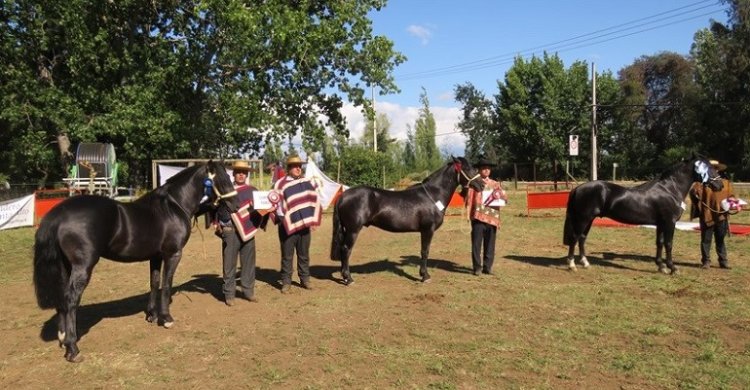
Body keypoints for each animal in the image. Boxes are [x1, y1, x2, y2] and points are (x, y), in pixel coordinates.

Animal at [32, 160, 236, 362]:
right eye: (223, 179)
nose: (234, 205)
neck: (173, 207)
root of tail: (60, 213)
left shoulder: (155, 256)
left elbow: (154, 283)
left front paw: (152, 315)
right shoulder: (173, 254)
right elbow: (166, 284)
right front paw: (166, 318)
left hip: (65, 266)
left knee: (62, 297)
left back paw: (63, 338)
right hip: (82, 267)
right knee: (71, 300)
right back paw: (72, 348)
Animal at [332, 157, 484, 284]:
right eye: (468, 168)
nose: (482, 185)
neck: (433, 195)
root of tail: (343, 195)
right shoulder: (427, 230)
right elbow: (425, 251)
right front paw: (425, 276)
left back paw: (344, 277)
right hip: (353, 230)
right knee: (346, 249)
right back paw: (349, 279)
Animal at [568, 155, 724, 274]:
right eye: (709, 168)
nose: (720, 185)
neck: (670, 190)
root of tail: (578, 188)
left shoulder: (661, 224)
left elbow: (659, 243)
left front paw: (661, 267)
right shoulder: (670, 222)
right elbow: (668, 244)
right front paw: (673, 268)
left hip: (588, 220)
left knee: (582, 238)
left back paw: (585, 263)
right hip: (583, 219)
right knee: (575, 237)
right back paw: (572, 265)